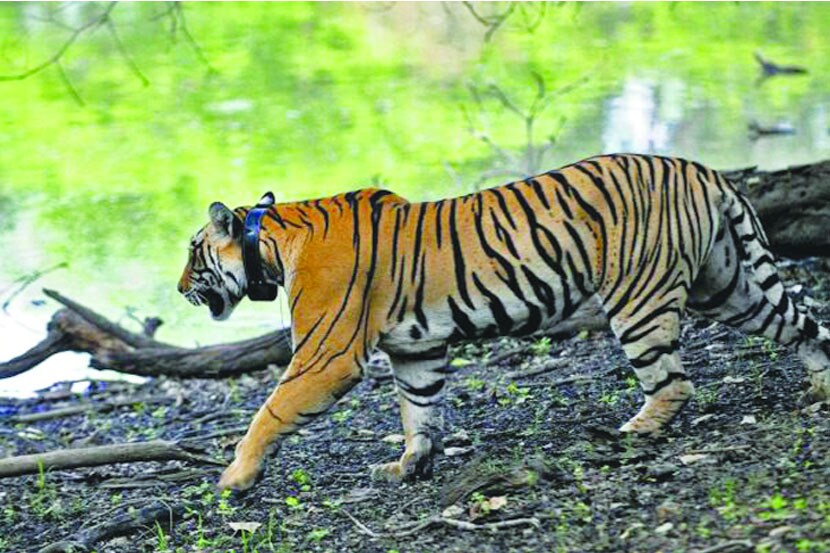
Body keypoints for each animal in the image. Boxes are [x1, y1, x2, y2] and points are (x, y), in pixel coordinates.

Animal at [177, 153, 830, 490]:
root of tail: (705, 170)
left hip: (640, 298)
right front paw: (409, 465)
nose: (180, 289)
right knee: (803, 321)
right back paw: (821, 388)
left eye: (191, 252)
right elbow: (419, 411)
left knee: (674, 383)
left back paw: (632, 432)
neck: (272, 239)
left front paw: (234, 476)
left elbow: (269, 411)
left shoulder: (326, 354)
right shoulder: (417, 349)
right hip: (726, 286)